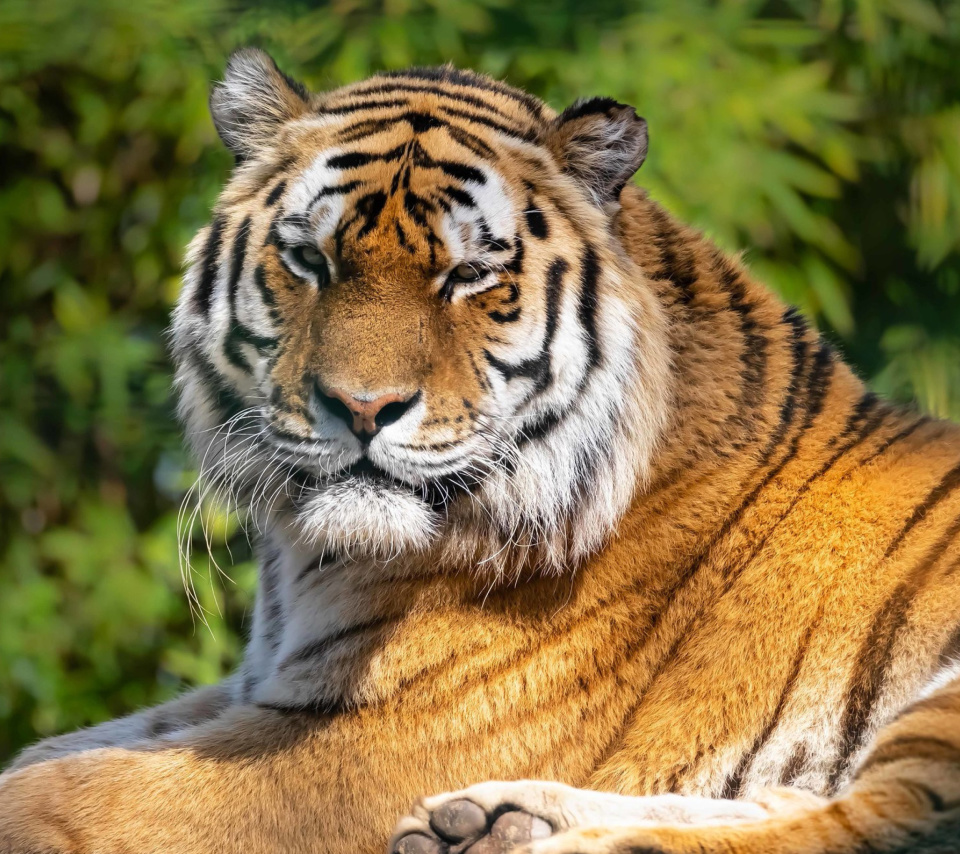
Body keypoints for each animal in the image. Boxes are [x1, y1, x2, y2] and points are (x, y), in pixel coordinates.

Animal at [1, 45, 960, 854]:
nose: (362, 408)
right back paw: (492, 821)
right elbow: (44, 753)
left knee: (881, 819)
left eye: (467, 276)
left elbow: (54, 795)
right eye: (311, 261)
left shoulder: (369, 744)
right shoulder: (261, 689)